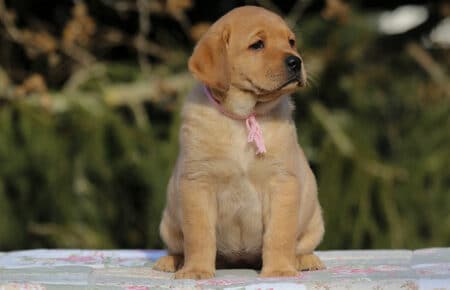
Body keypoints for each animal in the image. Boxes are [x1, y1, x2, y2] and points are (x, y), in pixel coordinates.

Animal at [154, 5, 324, 280]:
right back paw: (172, 261)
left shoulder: (282, 183)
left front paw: (279, 271)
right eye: (257, 45)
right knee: (179, 246)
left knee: (301, 244)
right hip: (168, 223)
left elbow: (280, 235)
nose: (296, 61)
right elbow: (199, 236)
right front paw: (196, 270)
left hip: (314, 221)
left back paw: (304, 260)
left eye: (291, 42)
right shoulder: (198, 183)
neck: (244, 117)